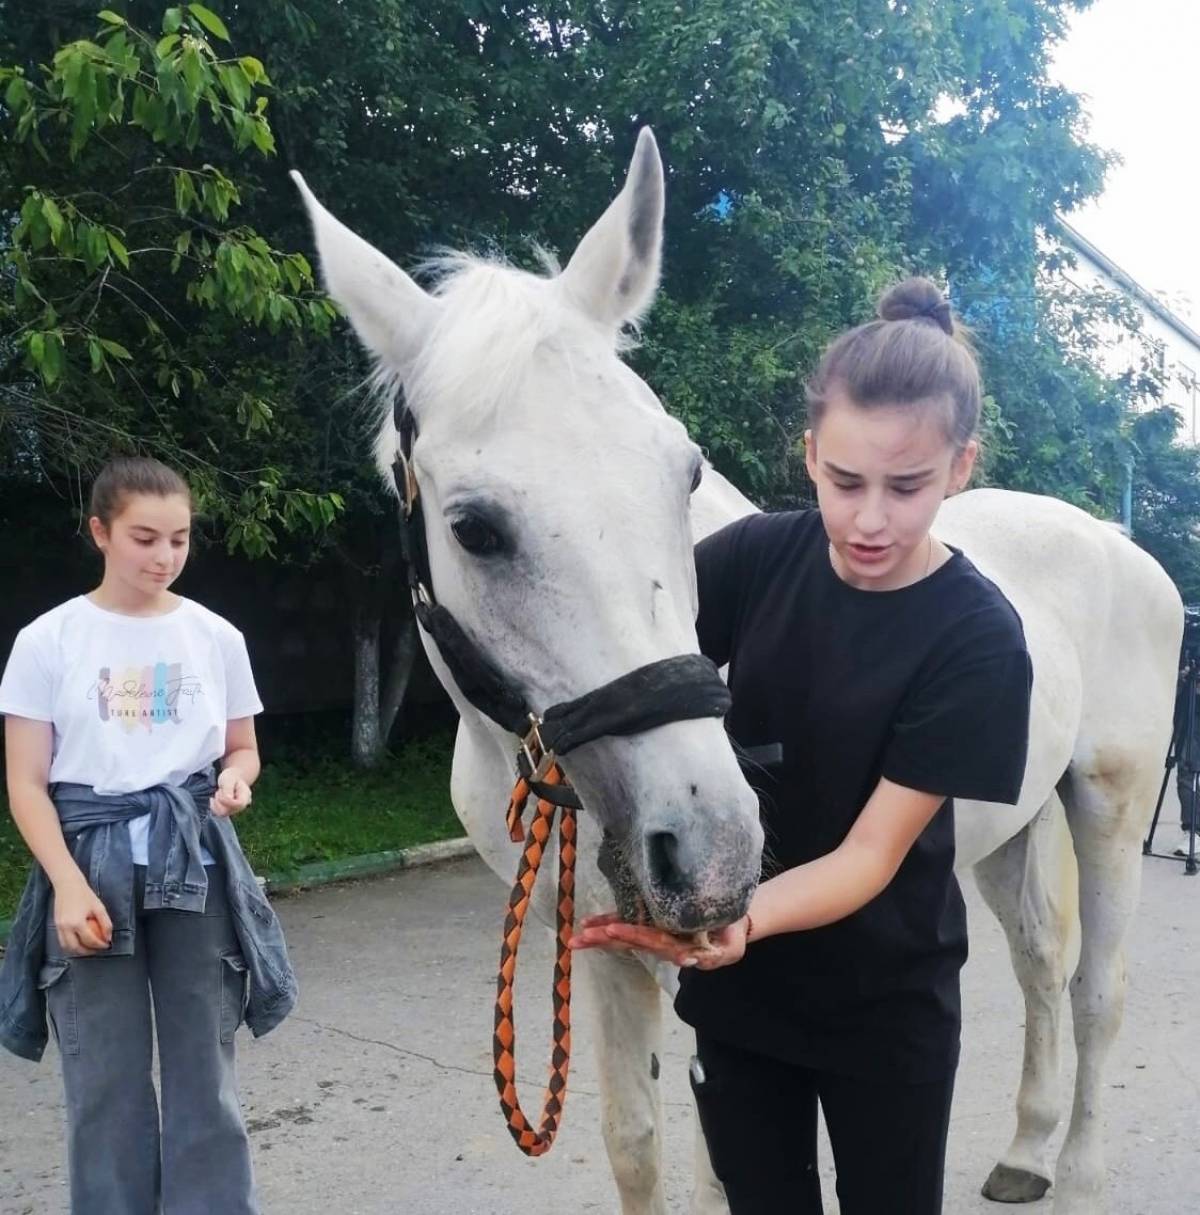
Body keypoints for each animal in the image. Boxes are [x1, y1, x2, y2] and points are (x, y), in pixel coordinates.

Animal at [293, 129, 1182, 1215]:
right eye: (475, 527)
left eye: (683, 472)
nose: (712, 852)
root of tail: (1114, 541)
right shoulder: (600, 952)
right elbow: (635, 1144)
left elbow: (723, 1166)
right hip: (1010, 823)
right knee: (1040, 968)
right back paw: (1025, 1149)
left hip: (1109, 809)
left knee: (1098, 990)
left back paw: (1083, 1172)